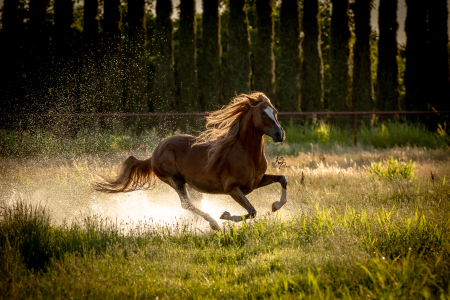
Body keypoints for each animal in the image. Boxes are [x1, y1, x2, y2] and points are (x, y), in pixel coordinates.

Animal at [94, 92, 288, 231]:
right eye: (262, 113)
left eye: (275, 112)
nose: (280, 134)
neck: (244, 153)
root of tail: (154, 154)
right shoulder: (232, 189)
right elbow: (252, 211)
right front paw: (225, 215)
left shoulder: (256, 181)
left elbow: (282, 179)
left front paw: (275, 205)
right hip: (175, 180)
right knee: (186, 204)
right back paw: (213, 224)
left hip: (191, 185)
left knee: (193, 203)